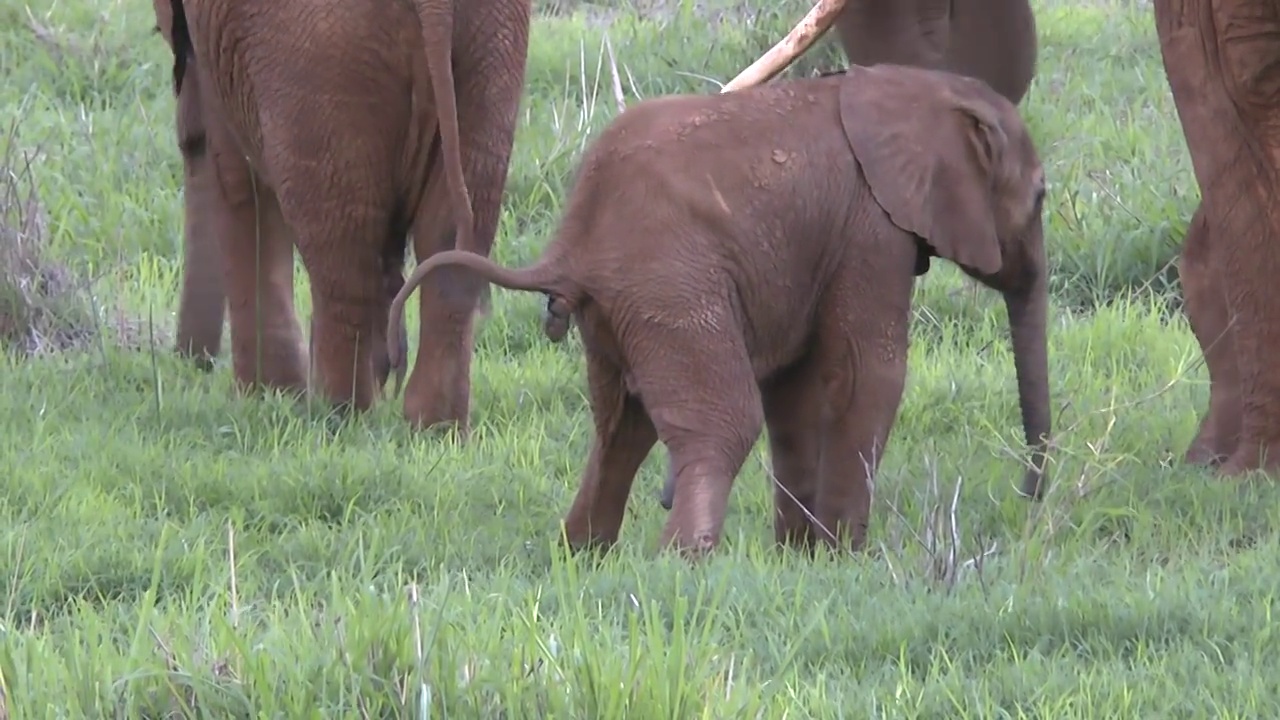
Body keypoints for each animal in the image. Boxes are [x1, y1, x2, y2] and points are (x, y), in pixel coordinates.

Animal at [154, 0, 529, 427]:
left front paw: (266, 396)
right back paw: (433, 428)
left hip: (321, 62)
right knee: (449, 252)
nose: (192, 361)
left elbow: (236, 177)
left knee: (344, 261)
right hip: (490, 52)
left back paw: (339, 416)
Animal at [386, 63, 1049, 556]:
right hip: (672, 286)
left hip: (622, 307)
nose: (1028, 499)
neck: (920, 89)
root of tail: (570, 241)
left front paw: (800, 559)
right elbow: (867, 376)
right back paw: (680, 561)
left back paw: (581, 557)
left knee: (622, 426)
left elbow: (796, 391)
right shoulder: (871, 229)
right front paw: (843, 559)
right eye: (1042, 196)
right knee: (722, 422)